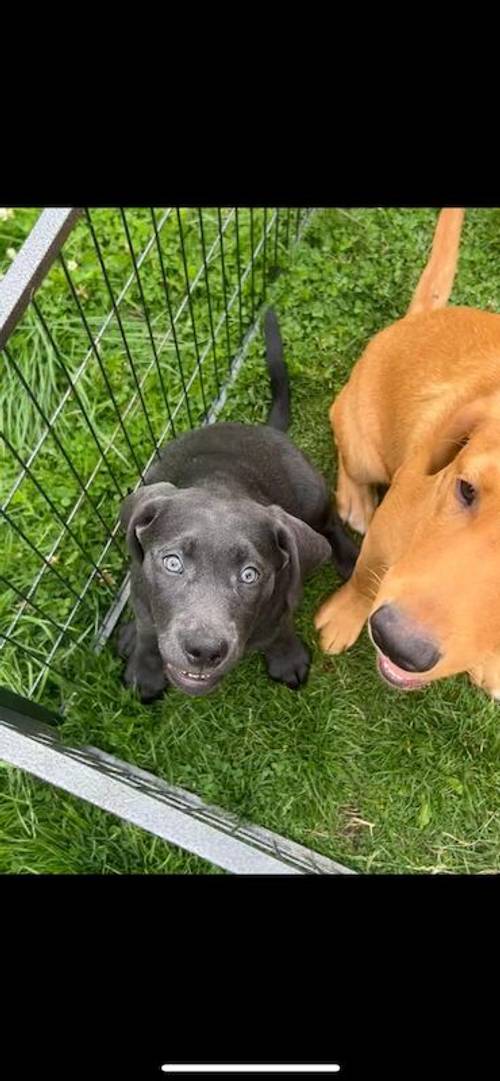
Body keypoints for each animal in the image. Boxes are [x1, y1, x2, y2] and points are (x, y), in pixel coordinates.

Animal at [118, 311, 358, 700]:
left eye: (250, 575)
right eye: (172, 563)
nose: (203, 650)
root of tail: (265, 430)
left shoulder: (280, 601)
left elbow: (280, 629)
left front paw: (287, 659)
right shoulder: (145, 599)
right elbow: (147, 632)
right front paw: (144, 670)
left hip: (312, 493)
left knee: (331, 523)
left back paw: (351, 559)